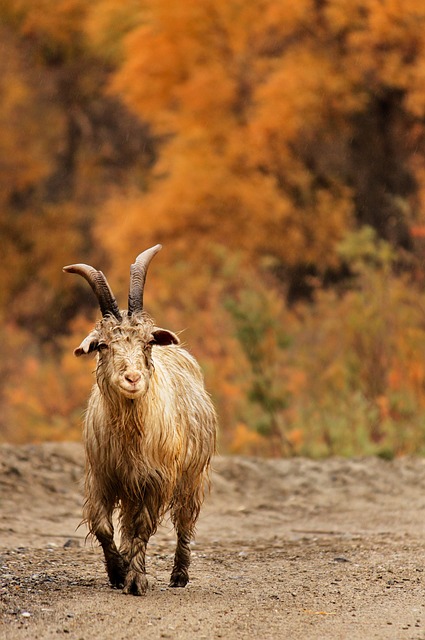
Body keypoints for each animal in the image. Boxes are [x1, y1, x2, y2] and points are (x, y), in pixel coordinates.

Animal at [64, 245, 217, 596]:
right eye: (103, 344)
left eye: (147, 342)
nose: (132, 378)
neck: (130, 433)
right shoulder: (102, 475)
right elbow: (103, 526)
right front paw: (118, 572)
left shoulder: (155, 479)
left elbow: (143, 527)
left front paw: (135, 580)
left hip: (191, 477)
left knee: (184, 522)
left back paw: (179, 576)